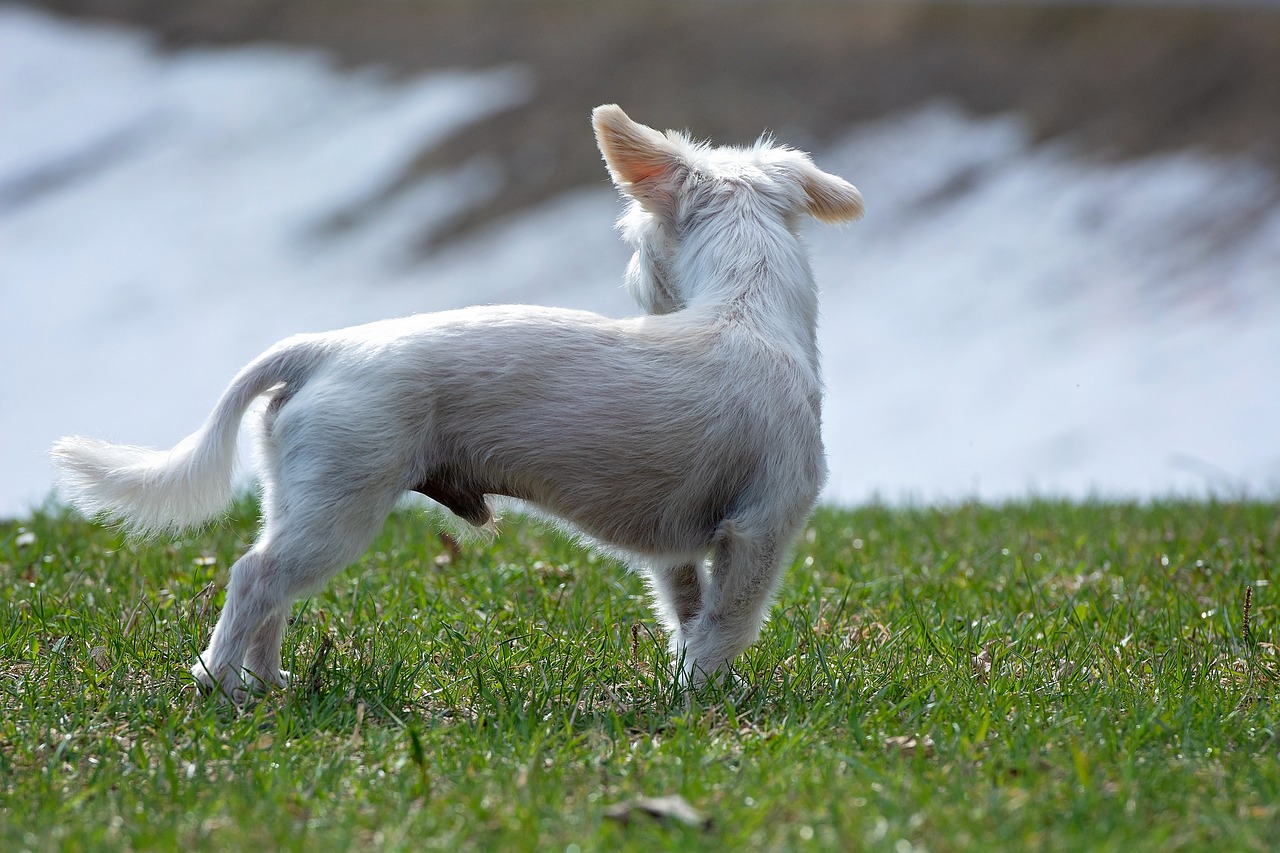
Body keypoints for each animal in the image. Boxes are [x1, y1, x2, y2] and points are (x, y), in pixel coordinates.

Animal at [55, 104, 865, 696]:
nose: (635, 282)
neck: (749, 309)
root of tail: (323, 348)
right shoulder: (761, 528)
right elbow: (728, 624)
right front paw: (704, 697)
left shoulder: (679, 551)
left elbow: (690, 615)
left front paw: (690, 682)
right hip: (341, 506)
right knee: (254, 578)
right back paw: (219, 685)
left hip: (300, 496)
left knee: (269, 587)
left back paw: (270, 684)